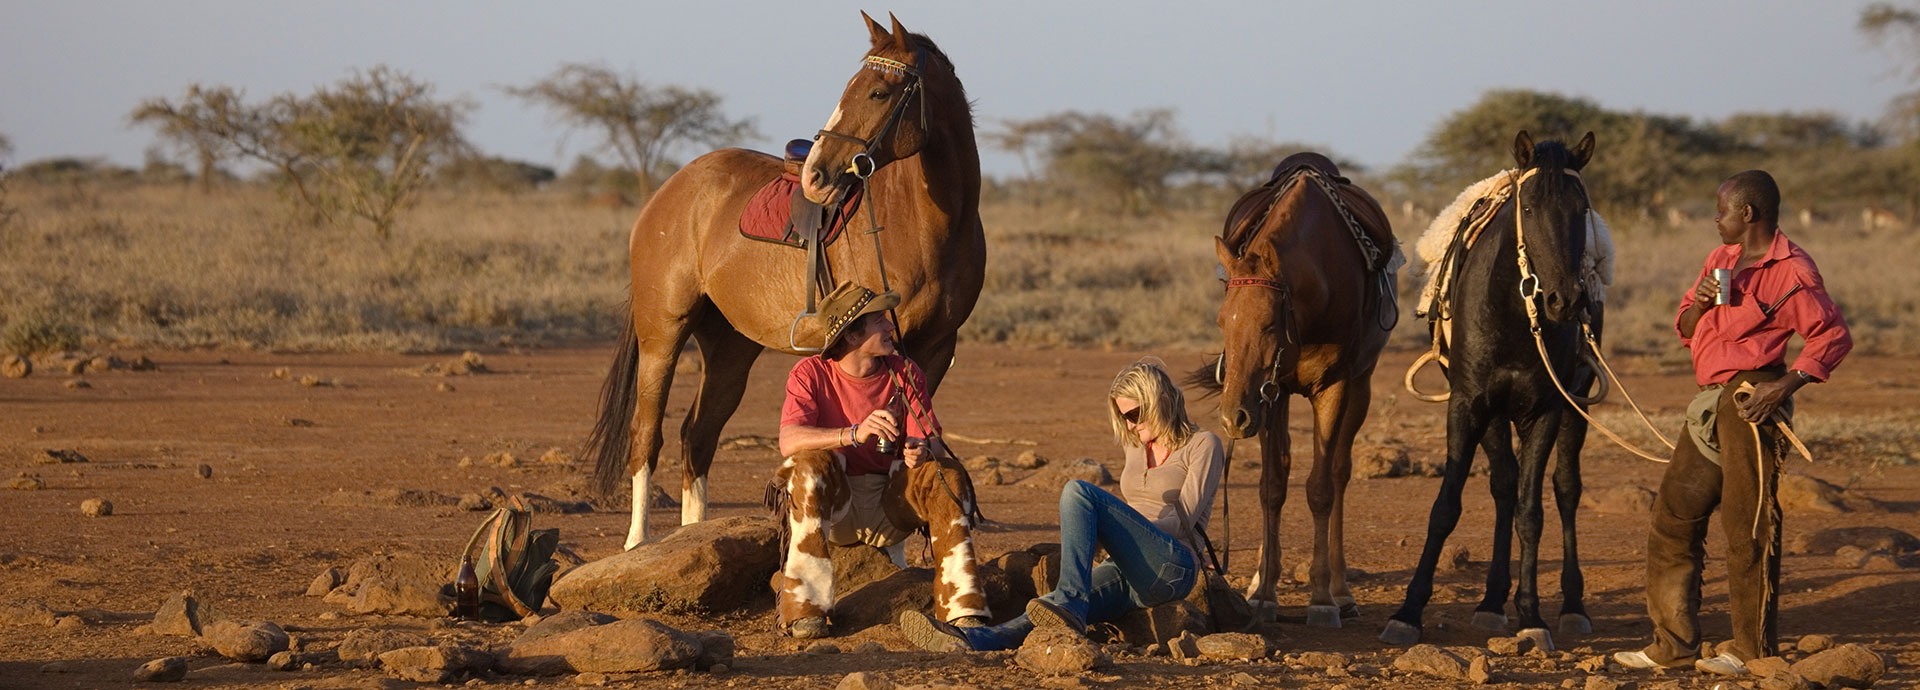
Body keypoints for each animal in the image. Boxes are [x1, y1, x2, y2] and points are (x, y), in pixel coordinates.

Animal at [585, 12, 985, 549]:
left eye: (879, 92)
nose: (817, 174)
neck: (926, 221)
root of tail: (669, 190)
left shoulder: (937, 347)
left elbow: (910, 442)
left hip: (730, 347)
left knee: (698, 436)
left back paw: (695, 535)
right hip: (662, 335)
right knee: (647, 435)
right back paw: (637, 542)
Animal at [1190, 152, 1398, 628]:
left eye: (1269, 323)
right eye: (1221, 321)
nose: (1232, 417)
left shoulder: (1334, 385)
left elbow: (1321, 488)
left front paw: (1321, 599)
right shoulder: (1273, 392)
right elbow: (1271, 486)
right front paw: (1264, 592)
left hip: (1361, 386)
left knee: (1339, 473)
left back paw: (1341, 592)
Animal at [1380, 131, 1601, 649]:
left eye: (1581, 207)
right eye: (1530, 207)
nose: (1565, 300)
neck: (1515, 314)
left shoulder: (1546, 409)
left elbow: (1532, 511)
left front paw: (1533, 615)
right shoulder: (1469, 406)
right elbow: (1447, 507)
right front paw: (1408, 612)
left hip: (1573, 406)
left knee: (1564, 489)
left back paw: (1572, 605)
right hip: (1497, 413)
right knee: (1503, 484)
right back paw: (1490, 601)